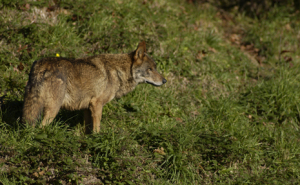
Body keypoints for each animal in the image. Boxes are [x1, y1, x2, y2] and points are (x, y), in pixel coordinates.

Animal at [22, 41, 166, 132]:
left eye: (155, 68)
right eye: (150, 69)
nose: (164, 80)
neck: (119, 72)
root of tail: (40, 65)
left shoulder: (86, 107)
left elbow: (87, 128)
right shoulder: (97, 104)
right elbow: (97, 127)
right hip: (53, 108)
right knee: (42, 126)